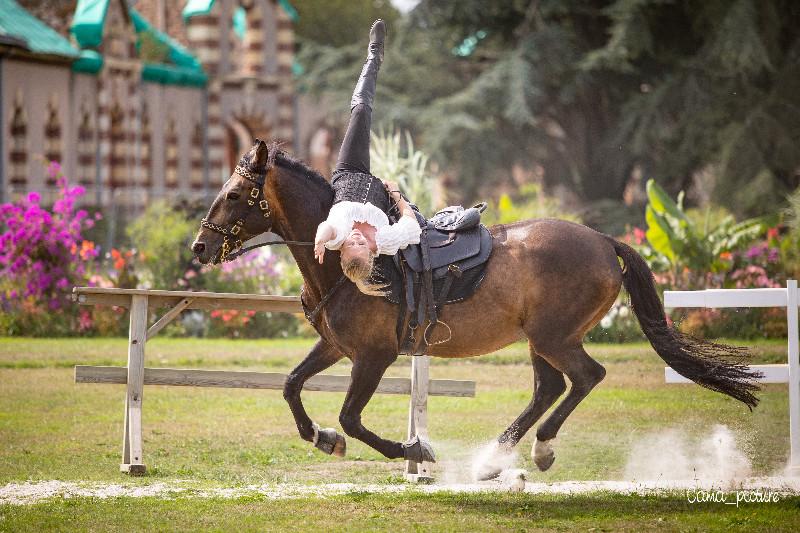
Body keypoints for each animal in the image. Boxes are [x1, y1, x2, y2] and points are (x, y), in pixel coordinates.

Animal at [191, 138, 760, 478]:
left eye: (236, 194)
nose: (198, 247)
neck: (344, 253)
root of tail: (603, 240)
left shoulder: (373, 357)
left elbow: (352, 417)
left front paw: (412, 451)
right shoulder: (335, 347)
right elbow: (291, 386)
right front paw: (321, 438)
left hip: (554, 337)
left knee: (585, 377)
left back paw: (536, 449)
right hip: (539, 340)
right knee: (550, 386)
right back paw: (496, 457)